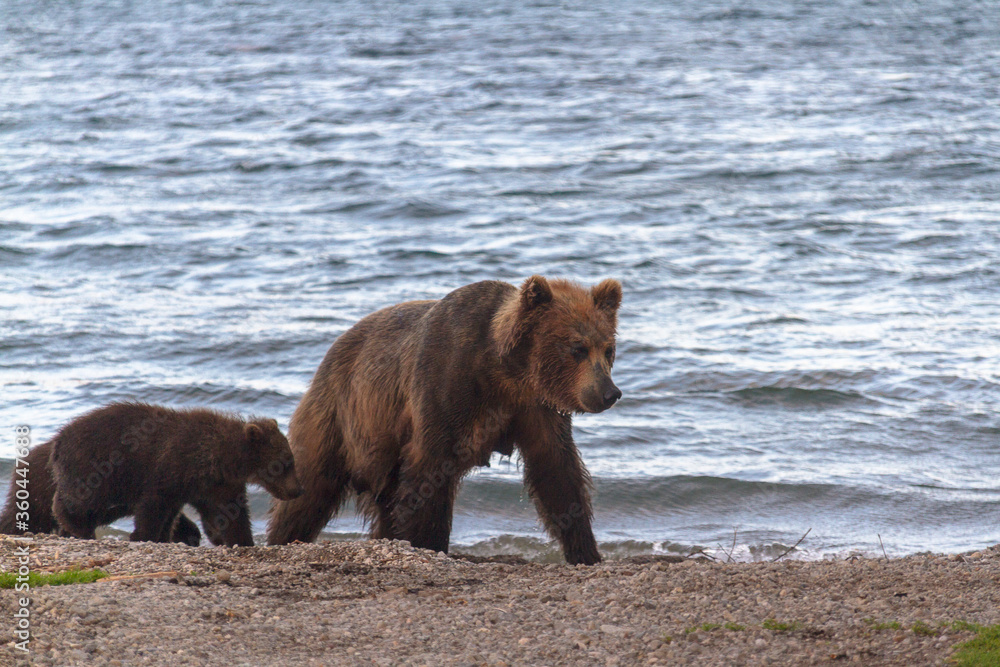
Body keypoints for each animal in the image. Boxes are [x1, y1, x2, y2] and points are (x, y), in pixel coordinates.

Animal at [50, 402, 303, 546]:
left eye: (290, 460)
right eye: (284, 463)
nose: (297, 490)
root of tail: (58, 440)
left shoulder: (216, 486)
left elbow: (232, 514)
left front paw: (241, 540)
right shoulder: (171, 469)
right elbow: (153, 506)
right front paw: (143, 535)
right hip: (98, 467)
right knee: (82, 500)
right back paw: (76, 525)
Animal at [267, 275, 622, 565]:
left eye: (608, 349)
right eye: (577, 348)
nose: (610, 393)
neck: (505, 372)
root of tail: (331, 351)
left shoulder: (534, 408)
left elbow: (556, 470)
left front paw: (586, 551)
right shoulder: (446, 385)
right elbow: (430, 472)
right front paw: (428, 544)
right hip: (340, 416)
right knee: (312, 486)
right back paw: (283, 538)